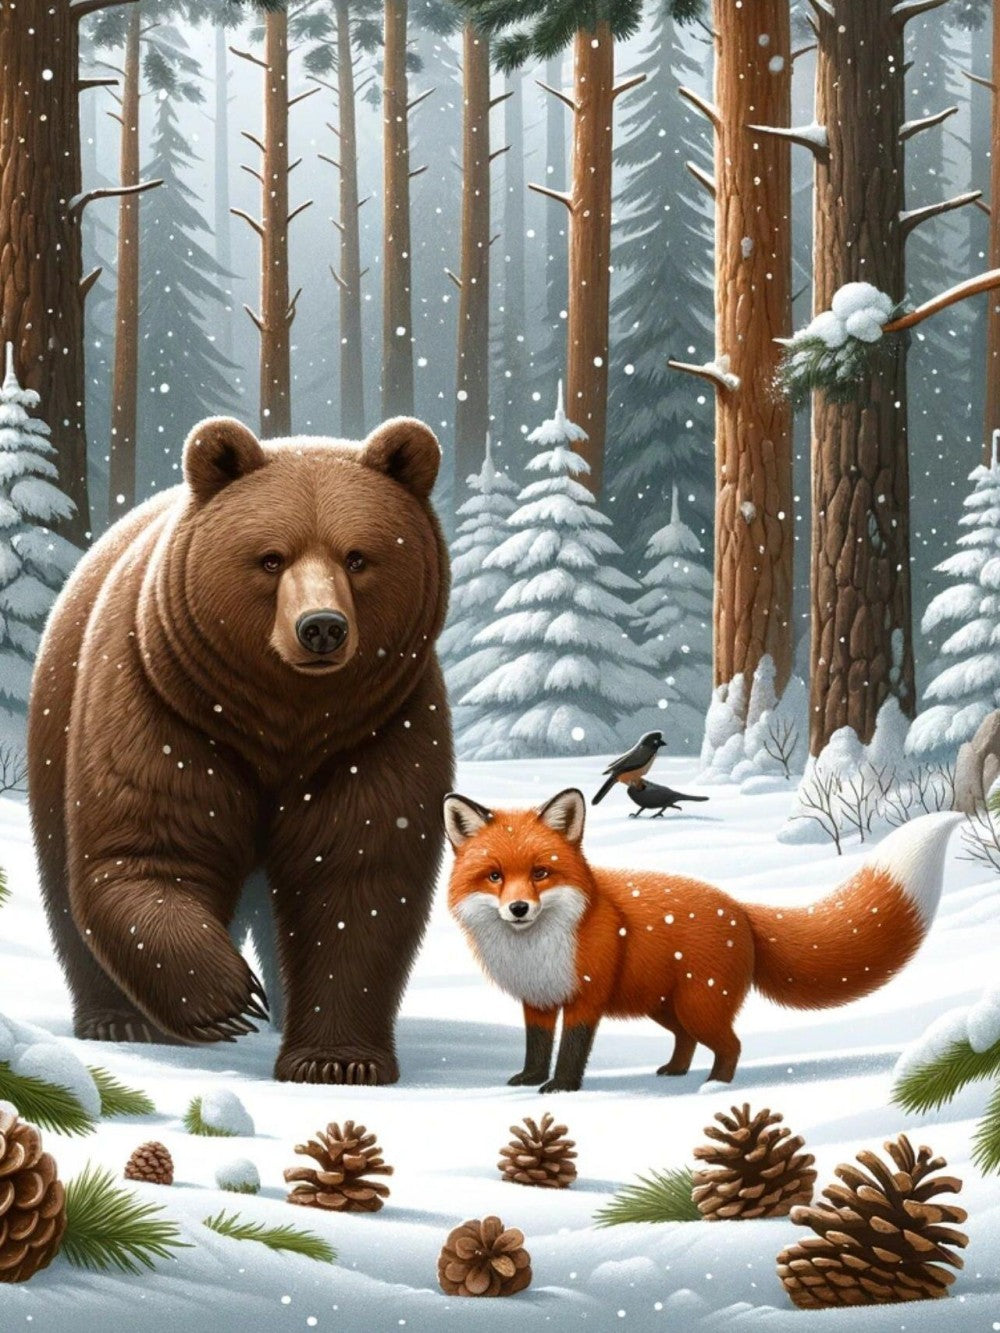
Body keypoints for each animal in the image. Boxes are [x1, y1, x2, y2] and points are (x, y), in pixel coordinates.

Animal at [27, 415, 454, 1085]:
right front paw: (229, 999)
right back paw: (120, 1021)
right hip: (58, 719)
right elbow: (148, 850)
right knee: (62, 873)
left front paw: (336, 1060)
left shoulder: (377, 733)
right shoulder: (166, 710)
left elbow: (358, 876)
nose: (322, 627)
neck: (281, 724)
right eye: (270, 558)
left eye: (358, 557)